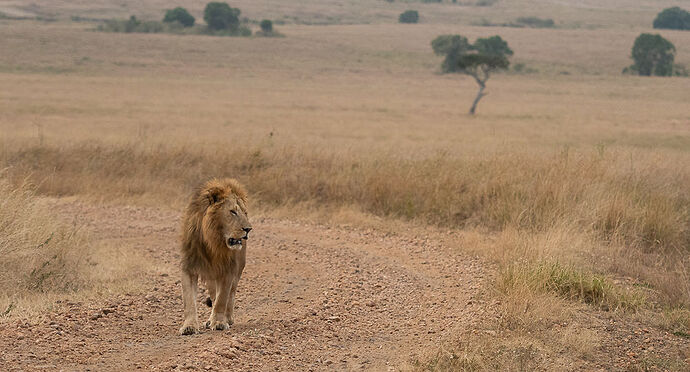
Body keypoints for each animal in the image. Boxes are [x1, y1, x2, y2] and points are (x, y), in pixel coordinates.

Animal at [179, 177, 251, 334]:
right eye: (232, 212)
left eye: (245, 213)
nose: (248, 229)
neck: (213, 241)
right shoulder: (189, 266)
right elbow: (189, 300)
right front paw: (189, 326)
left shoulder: (229, 269)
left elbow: (222, 299)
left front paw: (218, 322)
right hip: (211, 275)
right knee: (213, 293)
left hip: (237, 270)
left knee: (230, 295)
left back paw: (227, 318)